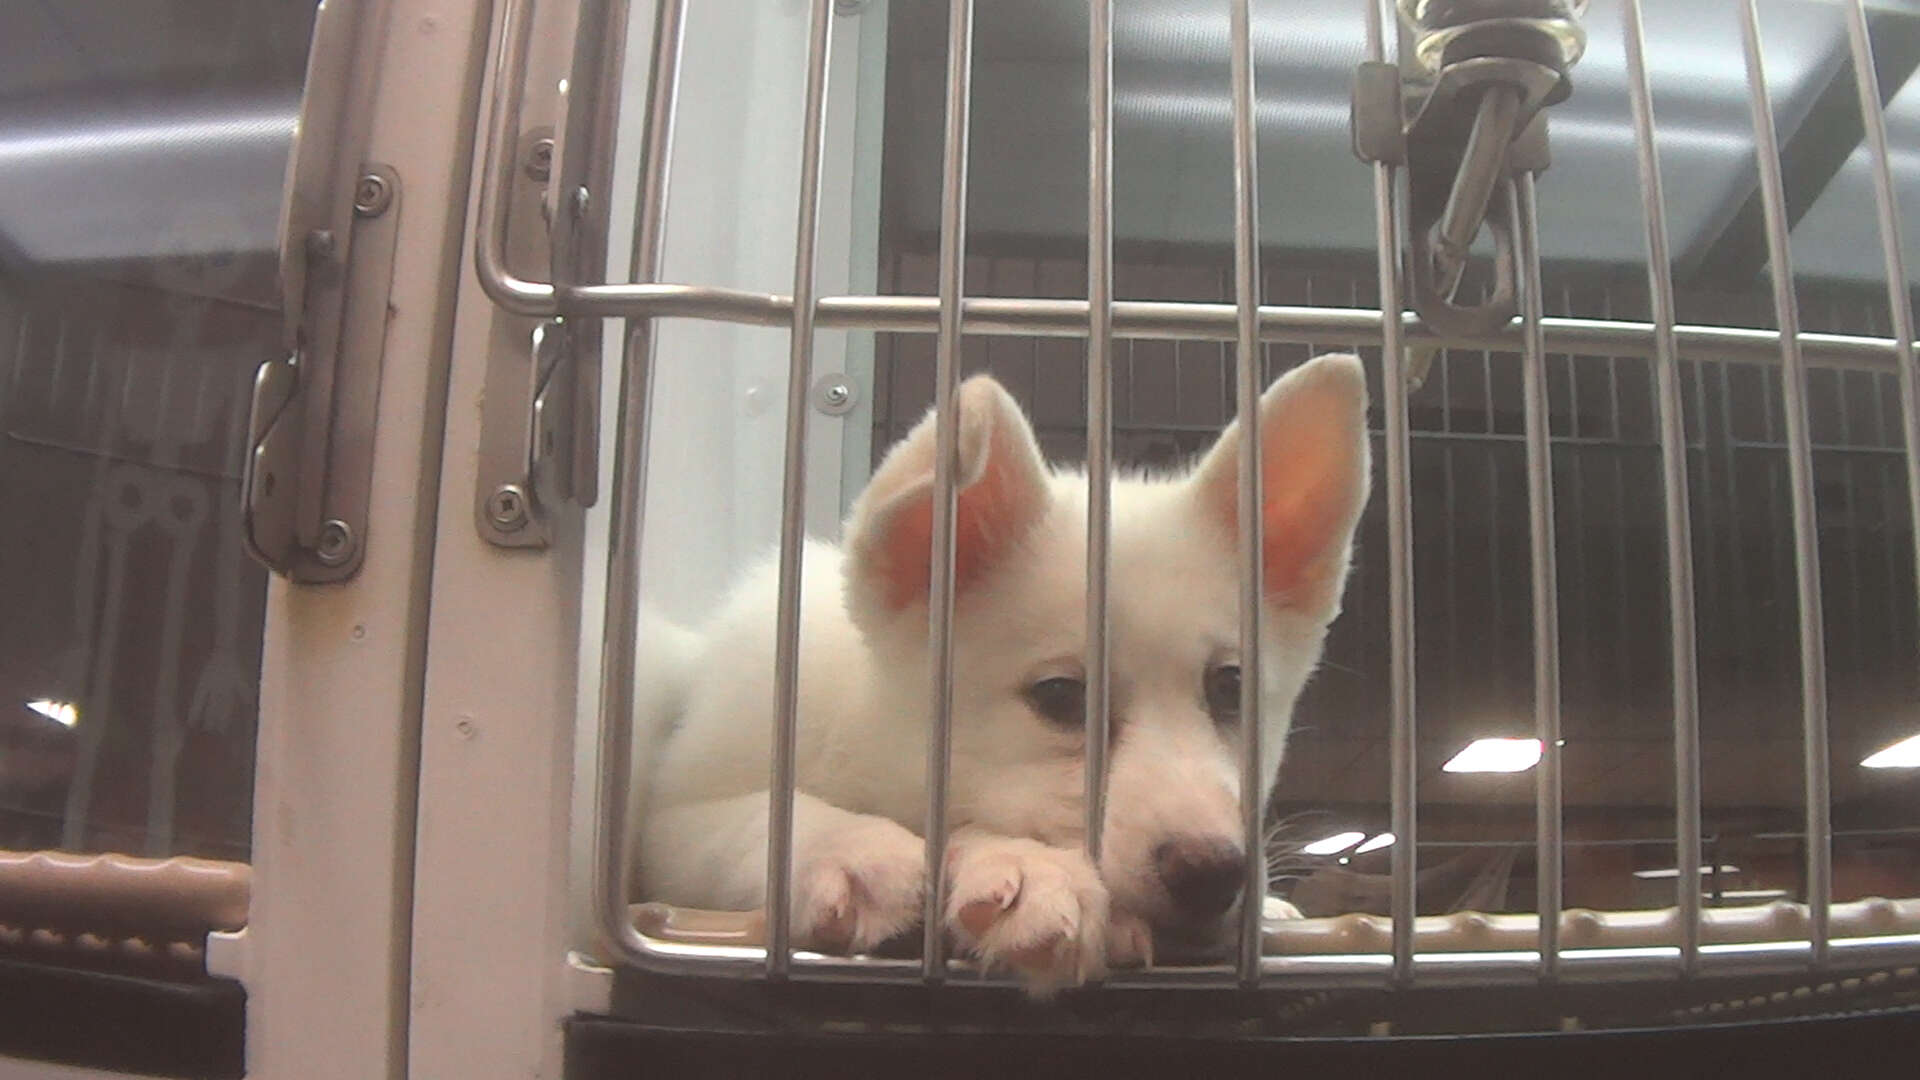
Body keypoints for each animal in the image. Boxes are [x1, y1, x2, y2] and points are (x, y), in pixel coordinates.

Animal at [637, 349, 1374, 991]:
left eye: (1231, 687)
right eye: (1061, 696)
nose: (1214, 874)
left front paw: (1016, 862)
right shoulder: (671, 819)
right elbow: (763, 815)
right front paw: (863, 850)